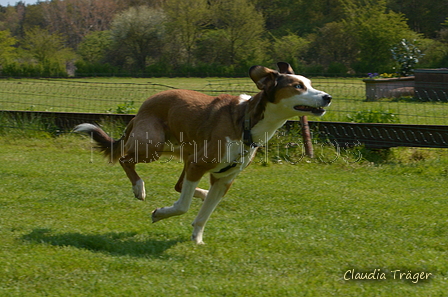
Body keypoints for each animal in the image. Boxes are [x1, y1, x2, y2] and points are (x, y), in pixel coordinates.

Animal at [75, 61, 330, 243]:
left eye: (309, 83)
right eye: (297, 86)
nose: (328, 97)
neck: (246, 122)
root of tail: (139, 111)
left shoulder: (223, 179)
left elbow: (204, 213)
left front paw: (197, 239)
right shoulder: (199, 165)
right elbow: (183, 206)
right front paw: (160, 213)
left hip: (185, 155)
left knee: (179, 185)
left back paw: (201, 193)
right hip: (153, 146)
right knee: (125, 160)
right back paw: (139, 189)